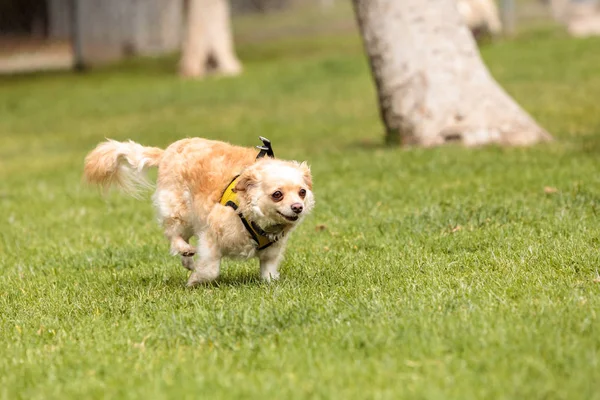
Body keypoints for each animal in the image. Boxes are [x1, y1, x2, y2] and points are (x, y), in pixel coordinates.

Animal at [84, 137, 314, 284]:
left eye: (302, 192)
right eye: (277, 194)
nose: (298, 207)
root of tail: (166, 151)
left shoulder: (271, 252)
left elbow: (268, 272)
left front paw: (270, 283)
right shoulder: (211, 237)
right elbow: (211, 270)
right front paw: (194, 281)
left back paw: (187, 260)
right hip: (179, 210)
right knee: (173, 234)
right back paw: (185, 252)